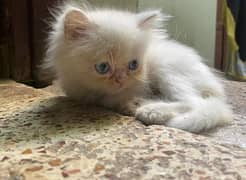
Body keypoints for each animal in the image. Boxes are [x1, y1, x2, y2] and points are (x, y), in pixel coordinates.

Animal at [44, 2, 233, 132]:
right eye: (103, 67)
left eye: (133, 65)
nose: (121, 79)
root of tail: (216, 88)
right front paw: (128, 102)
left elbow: (111, 99)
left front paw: (130, 102)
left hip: (166, 67)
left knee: (193, 102)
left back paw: (151, 111)